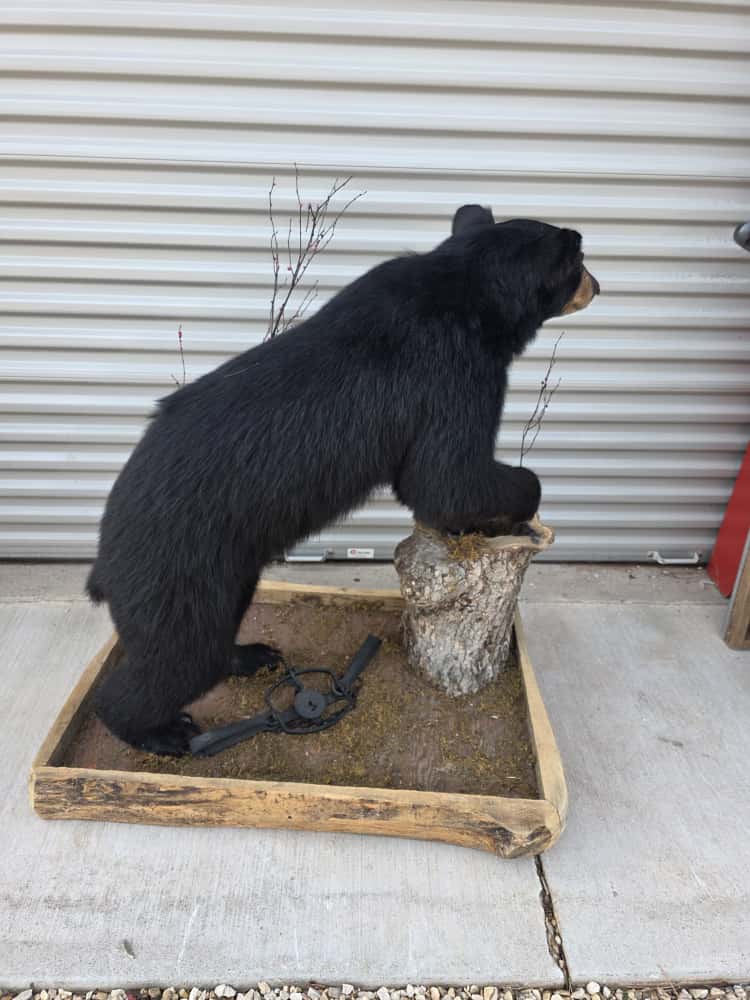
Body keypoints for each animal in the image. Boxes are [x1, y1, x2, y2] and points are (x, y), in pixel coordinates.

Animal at [86, 205, 600, 755]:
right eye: (580, 263)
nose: (598, 286)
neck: (472, 289)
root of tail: (104, 564)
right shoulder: (454, 368)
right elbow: (444, 476)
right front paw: (521, 497)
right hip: (177, 573)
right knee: (178, 656)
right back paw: (163, 731)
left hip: (227, 570)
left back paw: (253, 655)